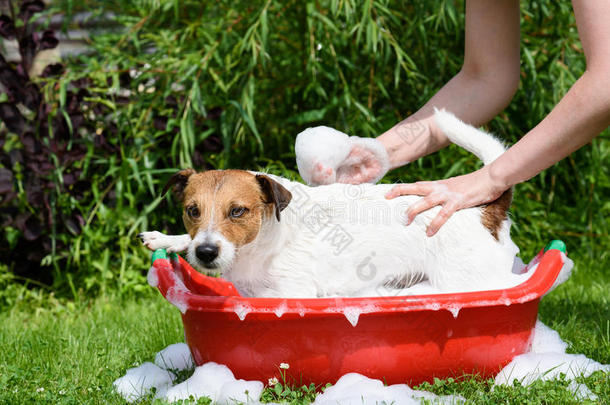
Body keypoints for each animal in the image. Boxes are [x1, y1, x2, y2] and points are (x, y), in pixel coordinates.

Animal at [138, 110, 516, 296]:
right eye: (192, 211)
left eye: (237, 211)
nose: (205, 253)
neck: (264, 244)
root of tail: (484, 209)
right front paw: (166, 238)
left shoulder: (294, 292)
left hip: (464, 279)